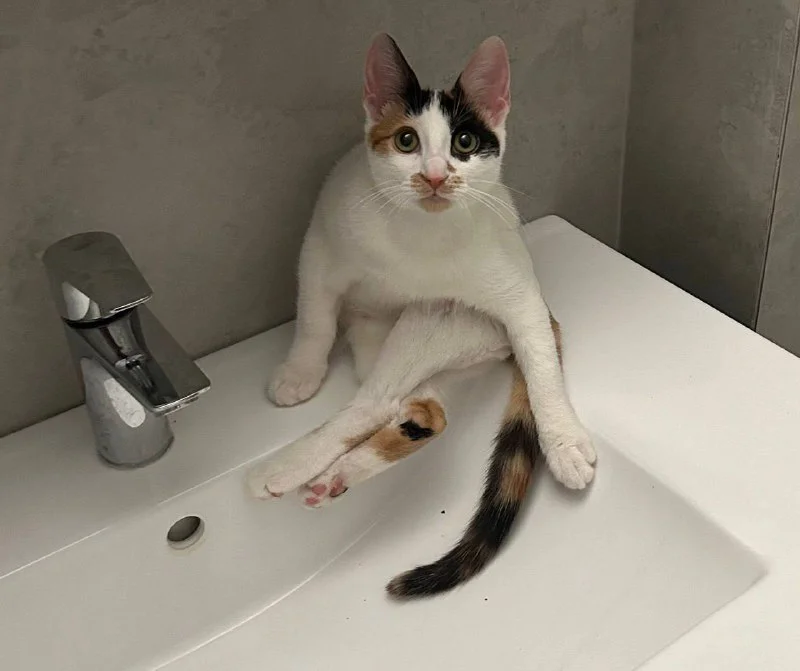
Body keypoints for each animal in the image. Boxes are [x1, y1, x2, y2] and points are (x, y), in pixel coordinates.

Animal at [247, 33, 596, 596]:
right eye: (406, 141)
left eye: (465, 143)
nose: (434, 176)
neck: (420, 237)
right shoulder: (321, 246)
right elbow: (314, 318)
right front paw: (300, 371)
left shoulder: (519, 293)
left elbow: (542, 368)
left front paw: (563, 441)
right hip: (387, 338)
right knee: (413, 408)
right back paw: (317, 472)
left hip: (441, 319)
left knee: (380, 404)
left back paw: (295, 471)